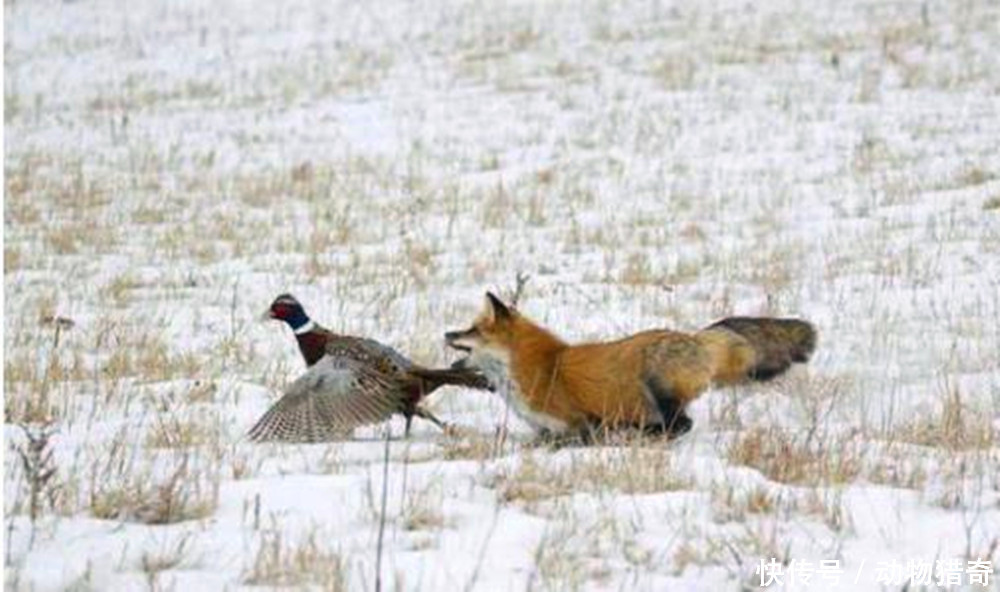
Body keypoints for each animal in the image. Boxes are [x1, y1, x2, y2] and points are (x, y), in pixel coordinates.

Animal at [444, 292, 812, 440]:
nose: (447, 333)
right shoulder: (546, 431)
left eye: (472, 330)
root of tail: (695, 337)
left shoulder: (577, 424)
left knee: (680, 425)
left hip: (657, 383)